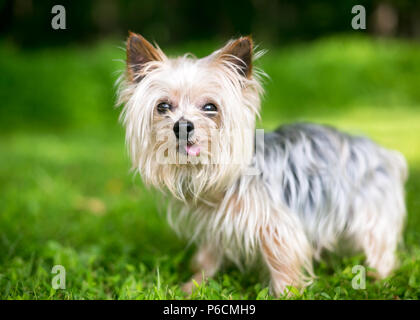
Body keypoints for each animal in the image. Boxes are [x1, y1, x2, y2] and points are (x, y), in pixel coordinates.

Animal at [115, 32, 406, 296]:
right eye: (163, 107)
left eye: (210, 107)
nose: (183, 126)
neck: (216, 181)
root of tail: (383, 152)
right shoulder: (212, 227)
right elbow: (207, 258)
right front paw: (194, 286)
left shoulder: (278, 229)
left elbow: (282, 264)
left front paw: (287, 293)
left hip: (371, 214)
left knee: (380, 250)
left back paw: (379, 279)